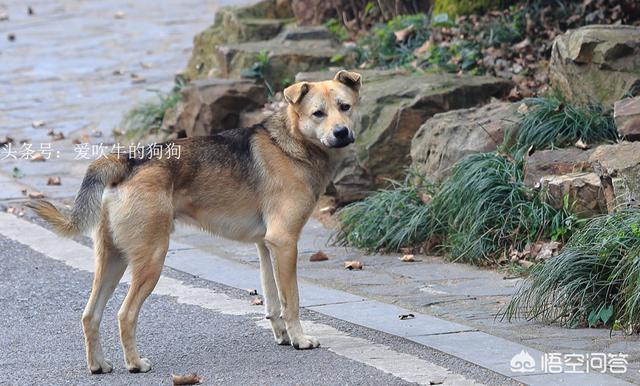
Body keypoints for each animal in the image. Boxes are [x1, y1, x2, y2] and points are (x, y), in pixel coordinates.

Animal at [30, 70, 362, 374]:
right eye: (318, 113)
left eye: (345, 107)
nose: (342, 132)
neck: (291, 144)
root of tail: (129, 160)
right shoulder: (285, 243)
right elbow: (291, 301)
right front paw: (300, 339)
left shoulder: (266, 246)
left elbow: (272, 301)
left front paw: (282, 336)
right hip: (151, 260)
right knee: (125, 315)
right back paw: (135, 364)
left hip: (112, 260)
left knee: (90, 315)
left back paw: (98, 365)